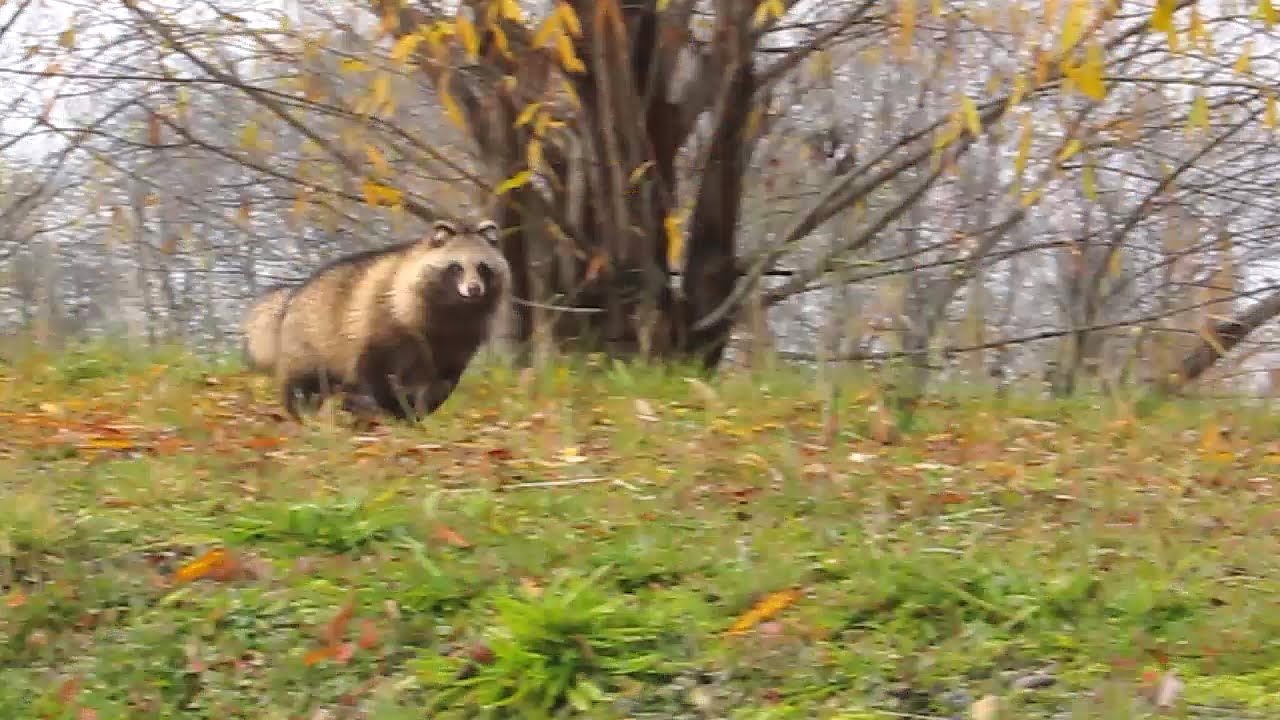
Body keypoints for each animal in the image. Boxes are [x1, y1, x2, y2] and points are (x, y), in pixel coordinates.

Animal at [274, 218, 511, 422]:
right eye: (456, 267)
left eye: (482, 267)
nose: (474, 289)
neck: (456, 307)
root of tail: (295, 295)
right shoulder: (385, 319)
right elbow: (375, 371)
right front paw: (393, 408)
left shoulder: (461, 339)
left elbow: (444, 379)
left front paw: (420, 409)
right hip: (311, 342)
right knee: (305, 384)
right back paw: (301, 410)